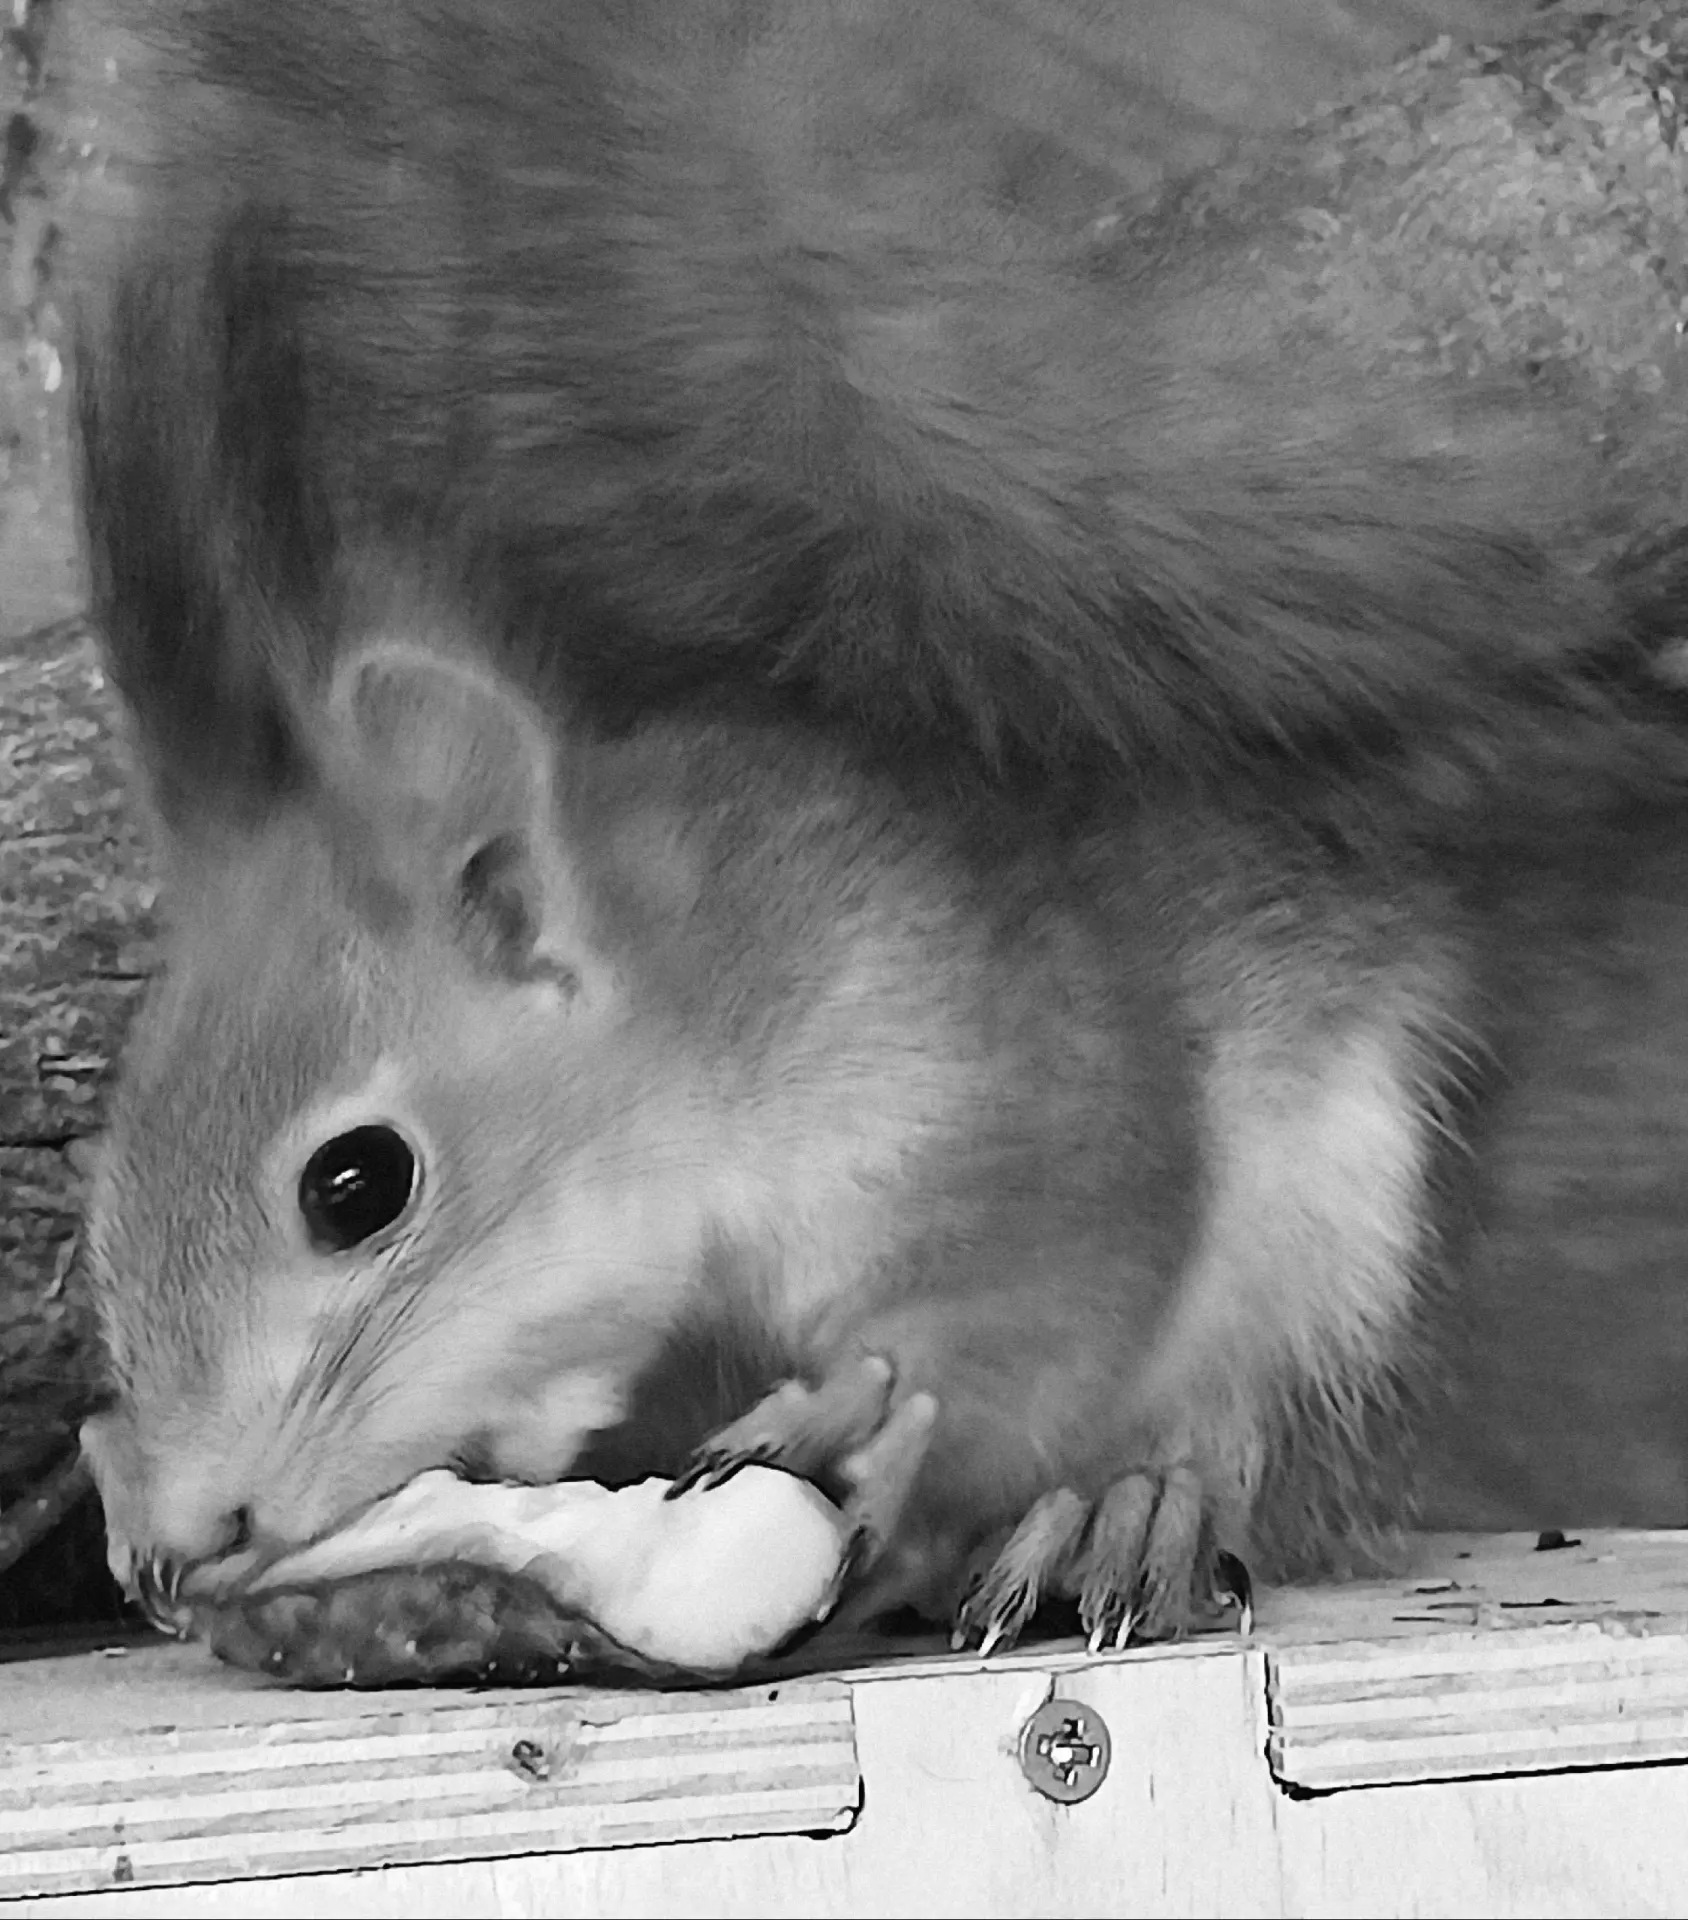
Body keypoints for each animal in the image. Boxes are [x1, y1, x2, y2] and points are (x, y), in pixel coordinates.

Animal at [65, 0, 1688, 1656]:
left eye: (356, 1185)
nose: (192, 1529)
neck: (704, 1025)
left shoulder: (994, 1051)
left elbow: (1064, 1278)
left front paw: (876, 1401)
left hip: (1348, 1225)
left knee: (1268, 1432)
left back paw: (1130, 1509)